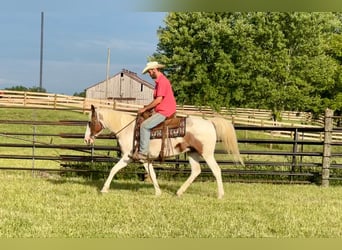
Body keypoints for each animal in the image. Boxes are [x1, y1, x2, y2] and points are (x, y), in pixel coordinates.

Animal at [83, 104, 243, 198]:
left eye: (90, 122)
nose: (86, 139)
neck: (129, 130)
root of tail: (209, 122)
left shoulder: (129, 157)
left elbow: (114, 169)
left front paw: (104, 189)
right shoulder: (144, 159)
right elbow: (152, 174)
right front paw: (158, 192)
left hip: (207, 154)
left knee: (216, 170)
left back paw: (220, 195)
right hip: (192, 153)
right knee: (196, 171)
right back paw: (179, 192)